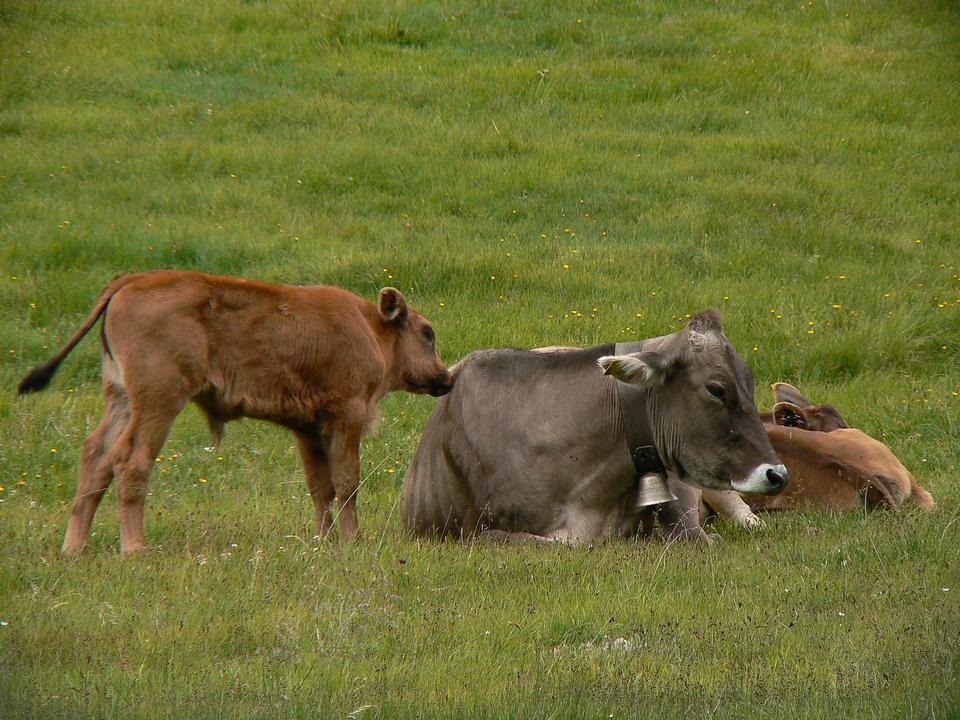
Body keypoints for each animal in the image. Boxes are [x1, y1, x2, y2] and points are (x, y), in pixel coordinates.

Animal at [17, 272, 454, 556]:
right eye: (427, 333)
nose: (446, 378)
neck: (369, 327)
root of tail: (130, 282)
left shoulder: (308, 428)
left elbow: (320, 487)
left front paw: (325, 540)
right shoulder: (346, 416)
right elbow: (346, 482)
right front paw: (354, 541)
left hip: (120, 397)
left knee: (96, 455)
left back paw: (75, 548)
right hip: (158, 402)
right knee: (130, 460)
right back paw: (136, 549)